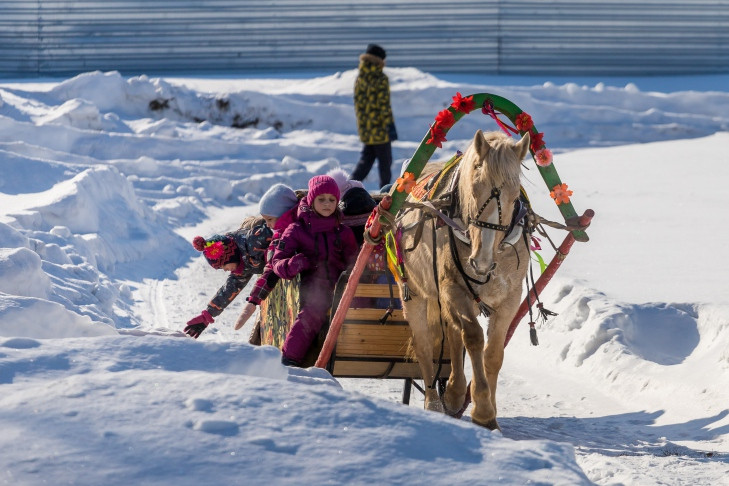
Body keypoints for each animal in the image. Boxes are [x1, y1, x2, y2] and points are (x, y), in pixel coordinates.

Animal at [398, 129, 528, 430]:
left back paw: (455, 392)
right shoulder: (453, 289)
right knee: (426, 346)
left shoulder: (510, 299)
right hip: (414, 293)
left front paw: (490, 411)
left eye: (515, 195)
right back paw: (436, 403)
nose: (481, 261)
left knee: (452, 335)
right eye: (475, 188)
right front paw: (481, 409)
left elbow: (493, 353)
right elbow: (473, 337)